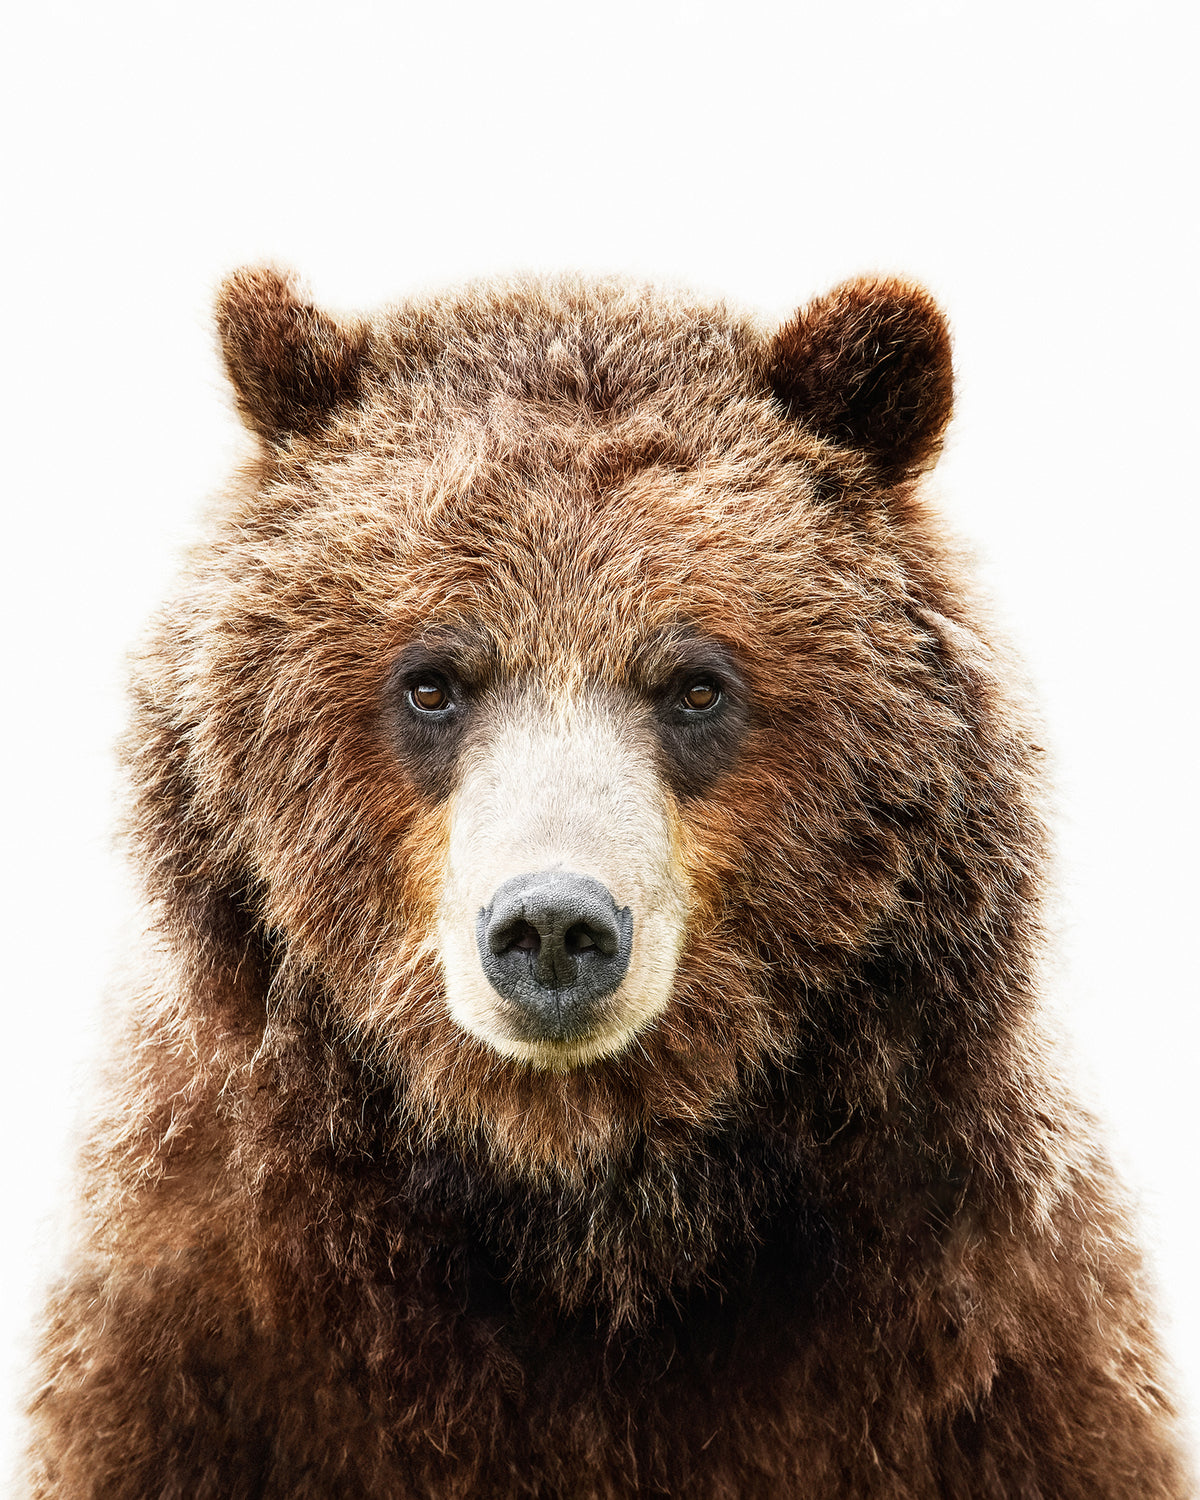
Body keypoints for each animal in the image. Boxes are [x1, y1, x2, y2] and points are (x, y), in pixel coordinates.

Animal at [23, 266, 1191, 1498]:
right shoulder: (204, 1347)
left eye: (695, 684)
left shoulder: (983, 1344)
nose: (552, 925)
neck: (586, 1214)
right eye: (433, 680)